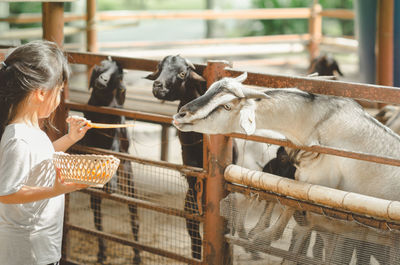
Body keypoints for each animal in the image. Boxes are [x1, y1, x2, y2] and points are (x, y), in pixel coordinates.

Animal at [81, 58, 141, 264]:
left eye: (118, 75)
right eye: (101, 67)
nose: (103, 78)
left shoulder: (116, 131)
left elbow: (113, 149)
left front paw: (112, 185)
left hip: (129, 179)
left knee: (134, 217)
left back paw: (137, 256)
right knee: (98, 217)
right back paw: (101, 253)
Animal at [173, 72, 400, 264]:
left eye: (227, 106)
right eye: (209, 90)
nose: (181, 115)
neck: (315, 124)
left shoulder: (324, 187)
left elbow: (294, 202)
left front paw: (262, 237)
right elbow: (288, 197)